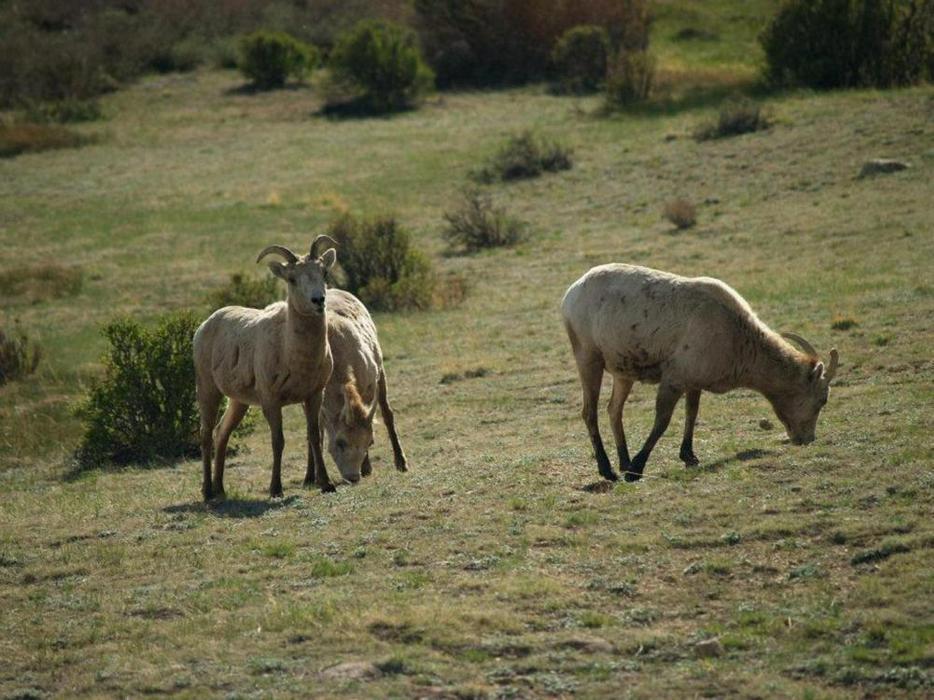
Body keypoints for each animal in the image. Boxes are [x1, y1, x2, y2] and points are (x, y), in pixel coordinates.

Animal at [193, 236, 339, 501]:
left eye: (323, 272)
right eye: (292, 279)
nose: (318, 301)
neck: (294, 353)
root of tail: (204, 325)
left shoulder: (314, 395)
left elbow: (314, 436)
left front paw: (326, 484)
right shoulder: (271, 400)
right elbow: (278, 441)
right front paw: (276, 490)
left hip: (238, 401)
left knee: (222, 432)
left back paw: (221, 489)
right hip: (208, 390)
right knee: (206, 434)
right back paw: (208, 492)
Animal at [321, 288, 408, 483]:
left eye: (370, 442)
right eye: (340, 442)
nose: (353, 477)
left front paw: (367, 467)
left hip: (381, 373)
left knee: (388, 414)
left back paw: (401, 463)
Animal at [561, 263, 839, 482]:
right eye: (822, 399)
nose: (807, 438)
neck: (737, 336)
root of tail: (571, 293)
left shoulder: (694, 381)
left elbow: (692, 413)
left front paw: (689, 456)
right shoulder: (674, 379)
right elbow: (662, 421)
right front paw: (637, 470)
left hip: (623, 372)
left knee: (613, 410)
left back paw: (623, 462)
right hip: (588, 358)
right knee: (589, 412)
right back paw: (608, 470)